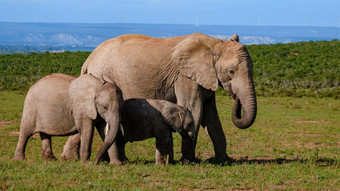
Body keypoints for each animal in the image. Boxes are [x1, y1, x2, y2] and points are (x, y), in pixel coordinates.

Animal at [63, 32, 256, 163]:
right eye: (231, 72)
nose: (236, 98)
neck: (215, 43)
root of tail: (88, 60)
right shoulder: (184, 77)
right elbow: (194, 110)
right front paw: (188, 162)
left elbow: (212, 119)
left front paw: (225, 161)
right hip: (102, 77)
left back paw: (72, 158)